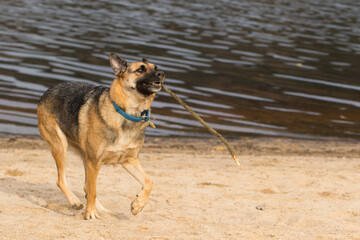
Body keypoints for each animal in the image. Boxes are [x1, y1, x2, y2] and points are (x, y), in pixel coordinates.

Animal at [37, 54, 165, 219]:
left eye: (156, 68)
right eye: (140, 69)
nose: (162, 74)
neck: (127, 113)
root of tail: (48, 90)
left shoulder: (129, 160)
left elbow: (149, 183)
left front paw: (138, 205)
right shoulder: (94, 162)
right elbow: (93, 191)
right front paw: (90, 213)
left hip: (84, 157)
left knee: (85, 187)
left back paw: (103, 210)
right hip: (61, 146)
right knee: (62, 181)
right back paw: (75, 202)